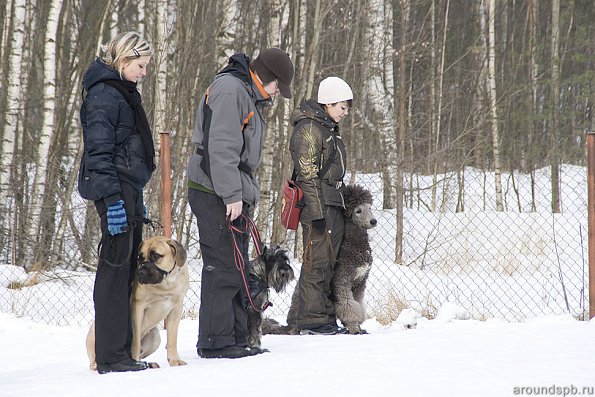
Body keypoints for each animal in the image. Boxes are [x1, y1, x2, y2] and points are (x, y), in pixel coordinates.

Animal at [85, 235, 189, 368]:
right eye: (140, 258)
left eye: (156, 256)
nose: (140, 272)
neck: (165, 284)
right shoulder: (138, 307)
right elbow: (135, 342)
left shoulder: (176, 308)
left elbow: (172, 338)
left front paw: (174, 360)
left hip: (155, 336)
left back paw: (149, 364)